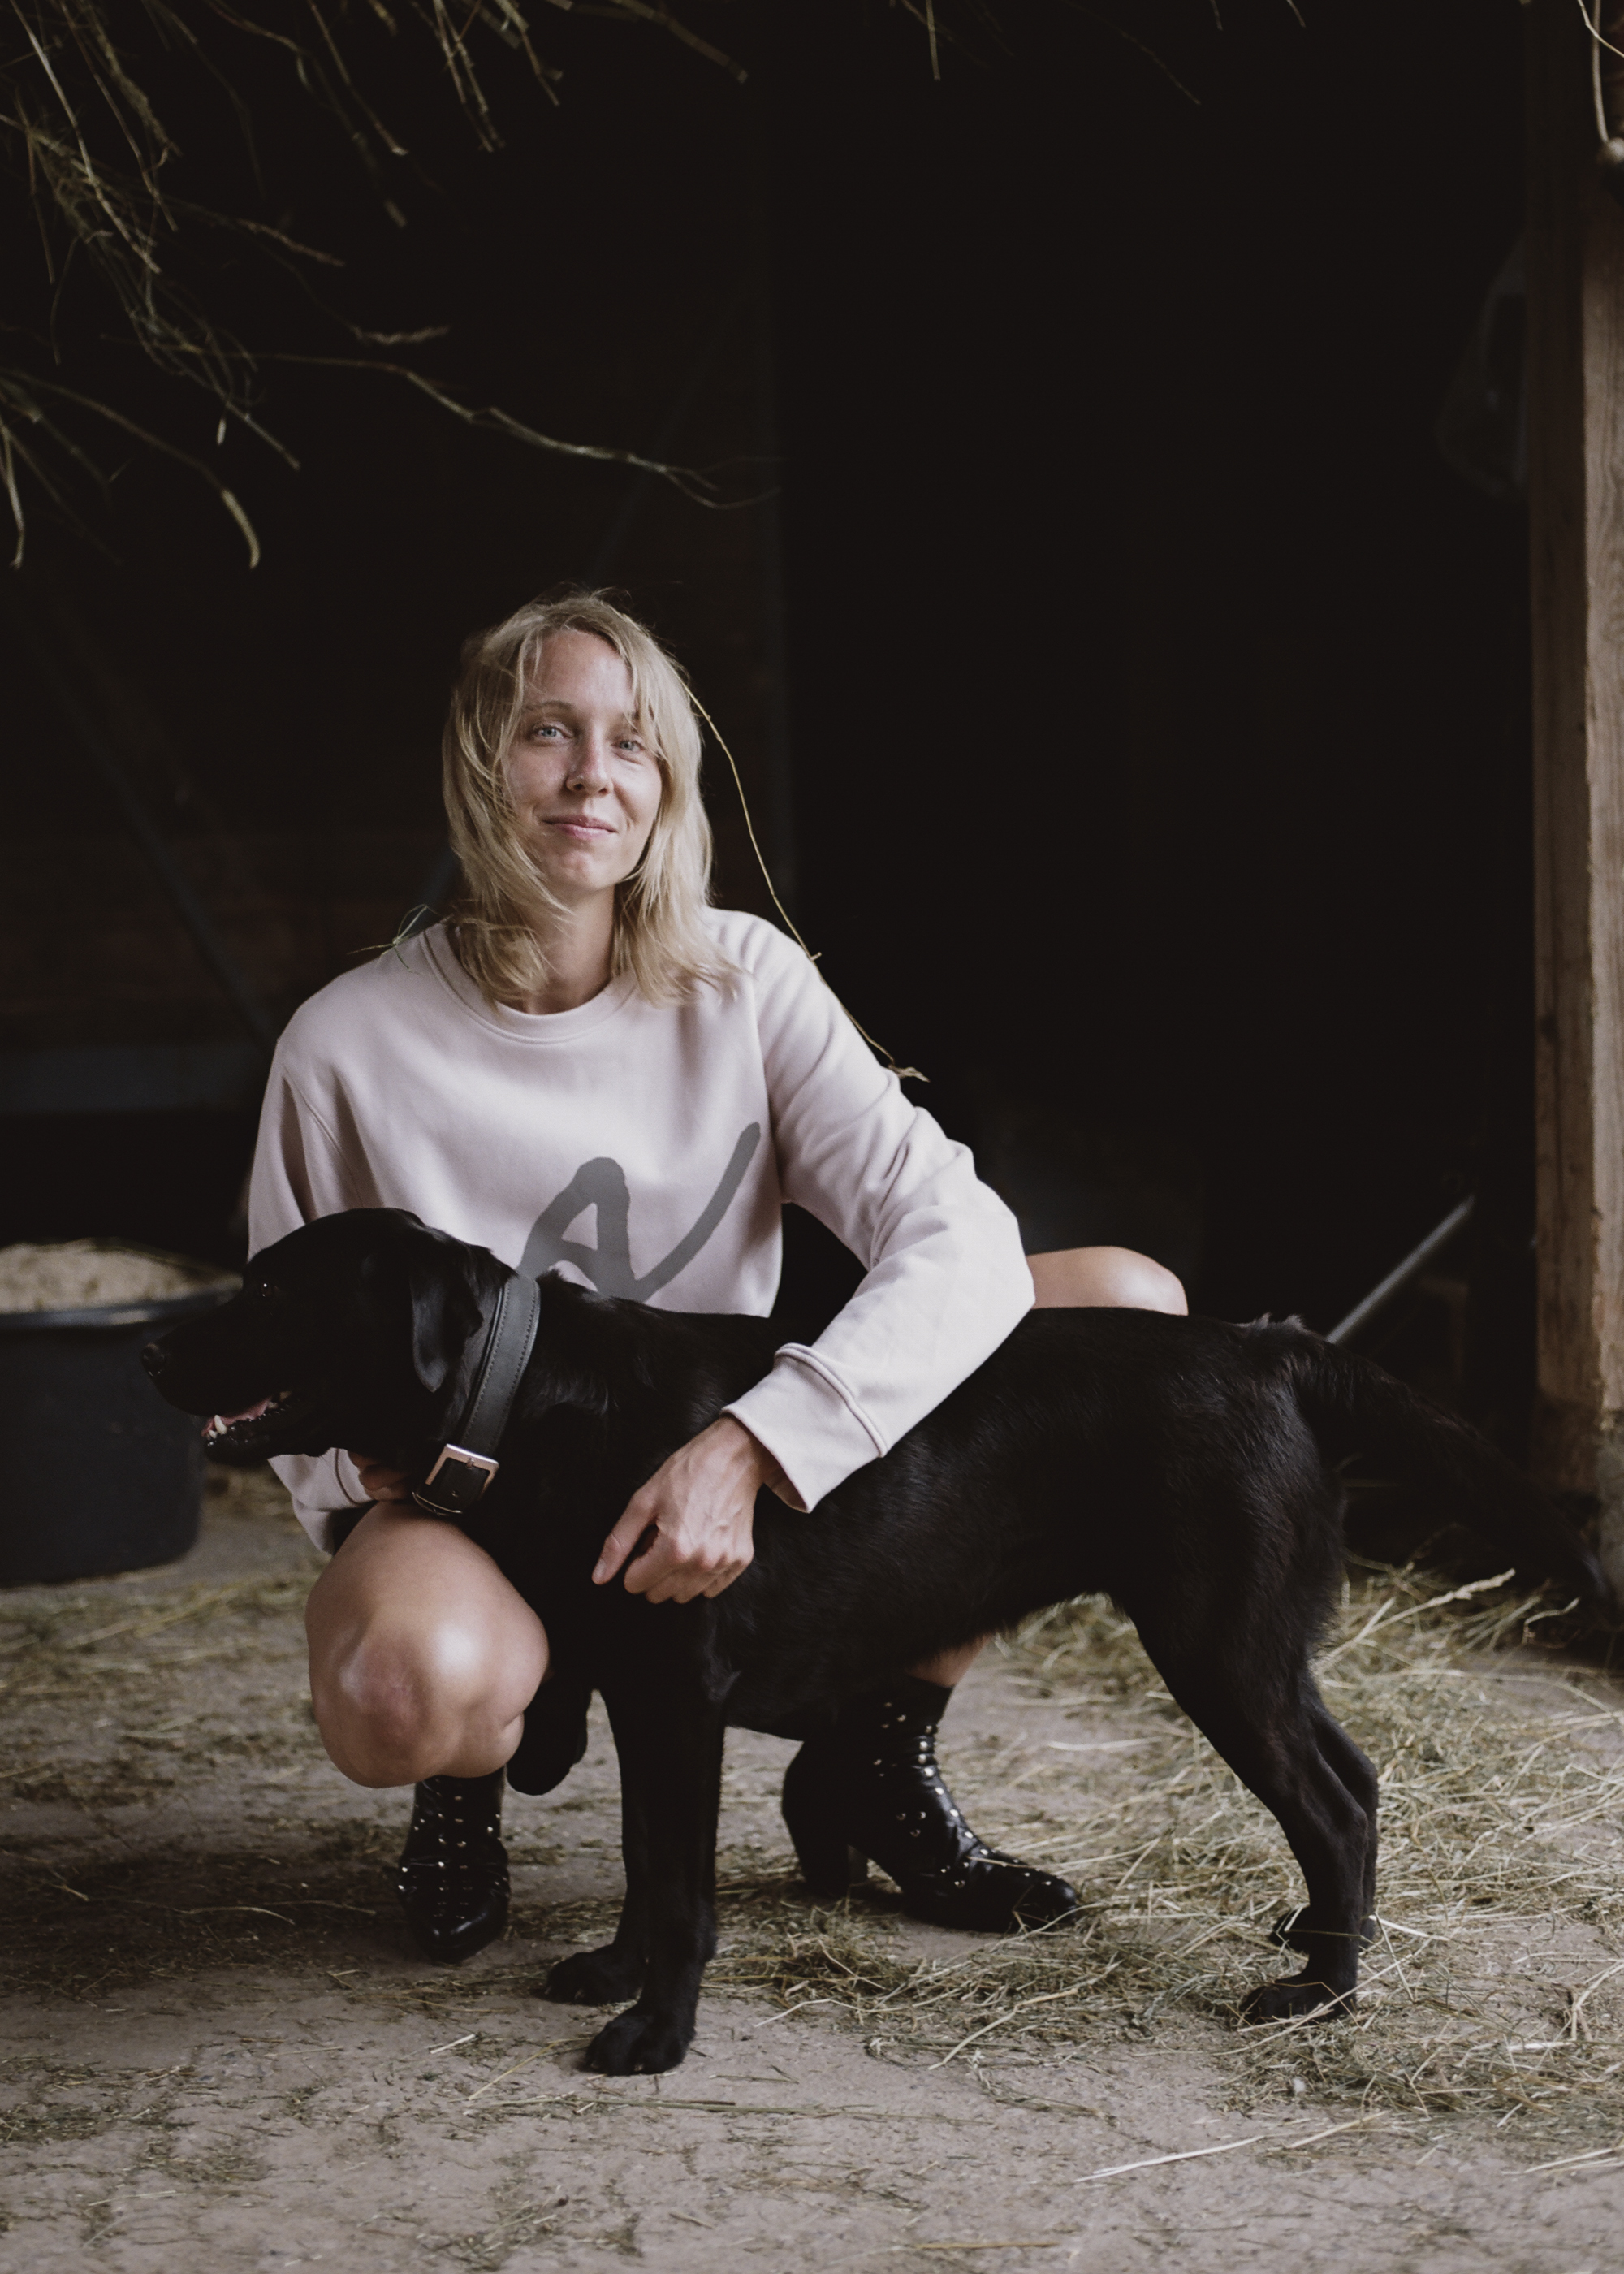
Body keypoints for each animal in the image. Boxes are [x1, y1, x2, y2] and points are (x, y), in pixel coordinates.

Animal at [142, 1208, 1612, 2076]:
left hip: (1222, 1645)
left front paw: (656, 2030)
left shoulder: (675, 1696)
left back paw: (1325, 1989)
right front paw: (615, 1972)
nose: (150, 1347)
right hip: (1246, 1650)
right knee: (1349, 1785)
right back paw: (1318, 1942)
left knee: (1338, 1798)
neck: (530, 1398)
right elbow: (641, 1865)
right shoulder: (634, 1699)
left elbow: (680, 1889)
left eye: (268, 1286)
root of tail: (1276, 1348)